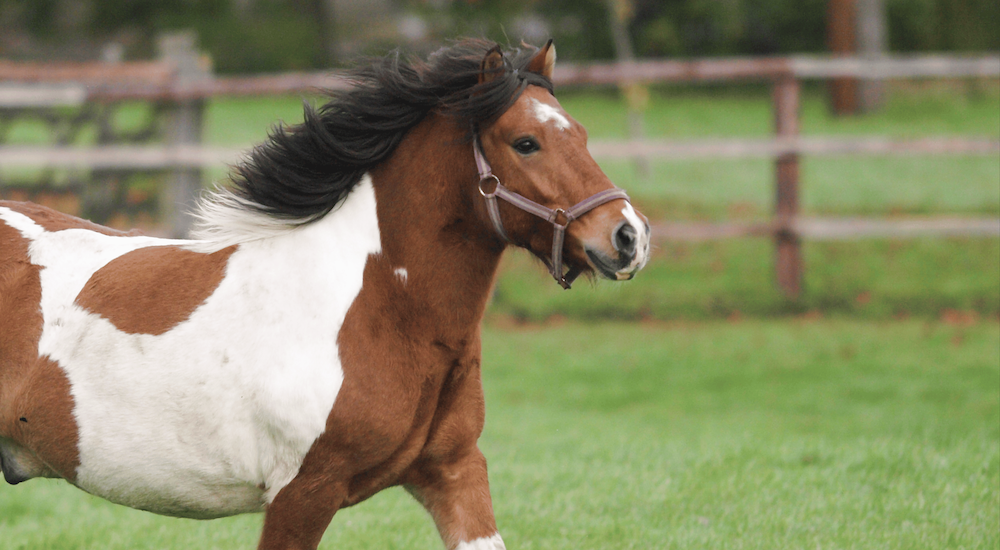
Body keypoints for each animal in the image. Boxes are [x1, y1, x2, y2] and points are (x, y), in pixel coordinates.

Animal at [0, 39, 650, 550]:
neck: (378, 311)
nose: (629, 236)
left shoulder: (453, 469)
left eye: (582, 134)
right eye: (525, 142)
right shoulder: (304, 493)